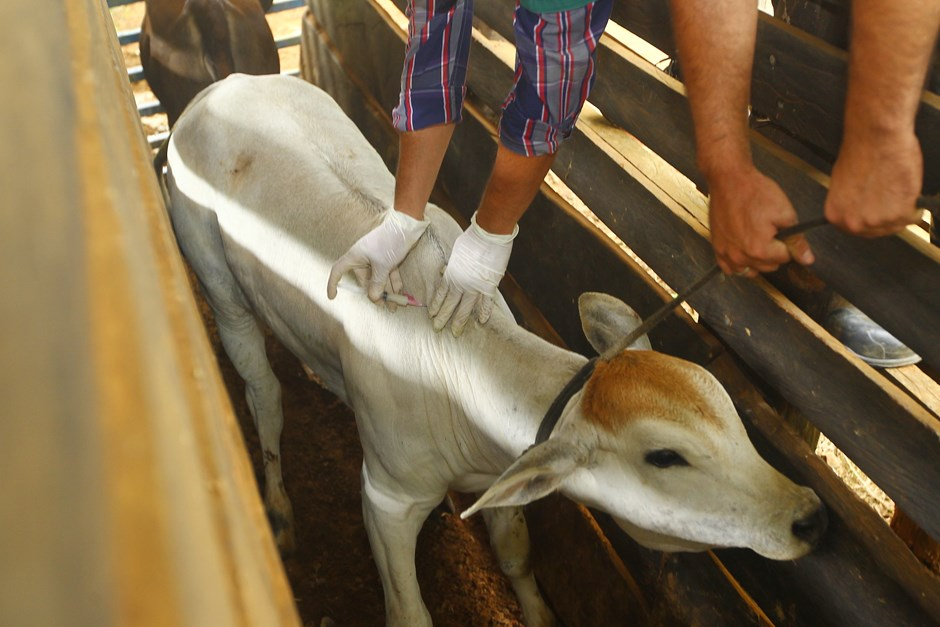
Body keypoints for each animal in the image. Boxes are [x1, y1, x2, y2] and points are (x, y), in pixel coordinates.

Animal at [165, 75, 828, 627]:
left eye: (731, 414)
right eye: (664, 457)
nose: (808, 514)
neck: (458, 358)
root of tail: (218, 87)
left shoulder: (500, 471)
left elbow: (515, 556)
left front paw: (538, 614)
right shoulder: (386, 499)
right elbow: (409, 611)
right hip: (215, 279)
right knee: (262, 392)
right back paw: (278, 509)